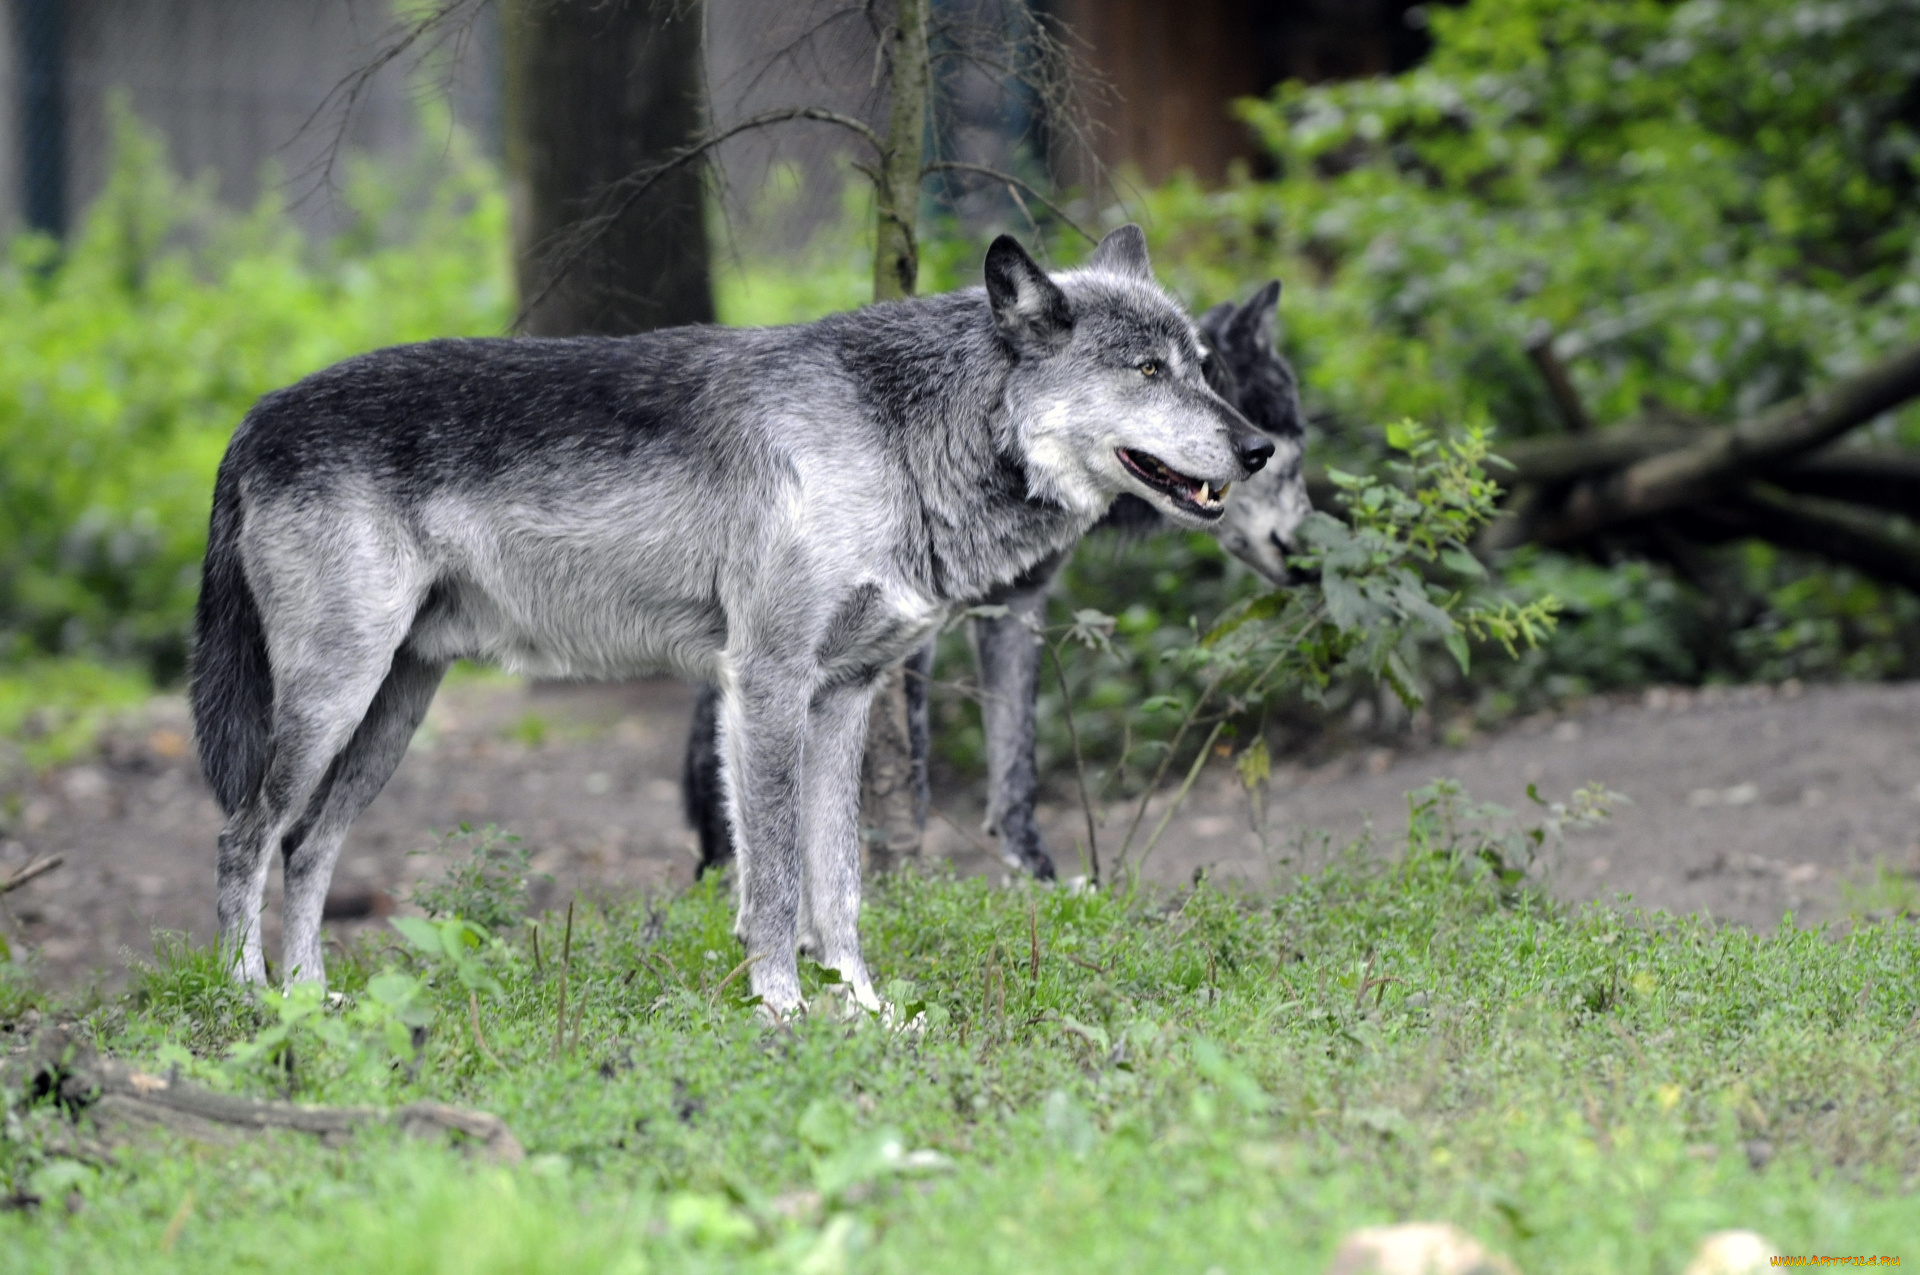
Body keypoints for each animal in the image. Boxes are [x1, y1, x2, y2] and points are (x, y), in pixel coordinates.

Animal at [683, 282, 1313, 875]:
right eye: (1280, 452)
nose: (1310, 555)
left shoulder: (1017, 605)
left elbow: (1017, 755)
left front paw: (1033, 871)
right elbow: (914, 757)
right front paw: (908, 877)